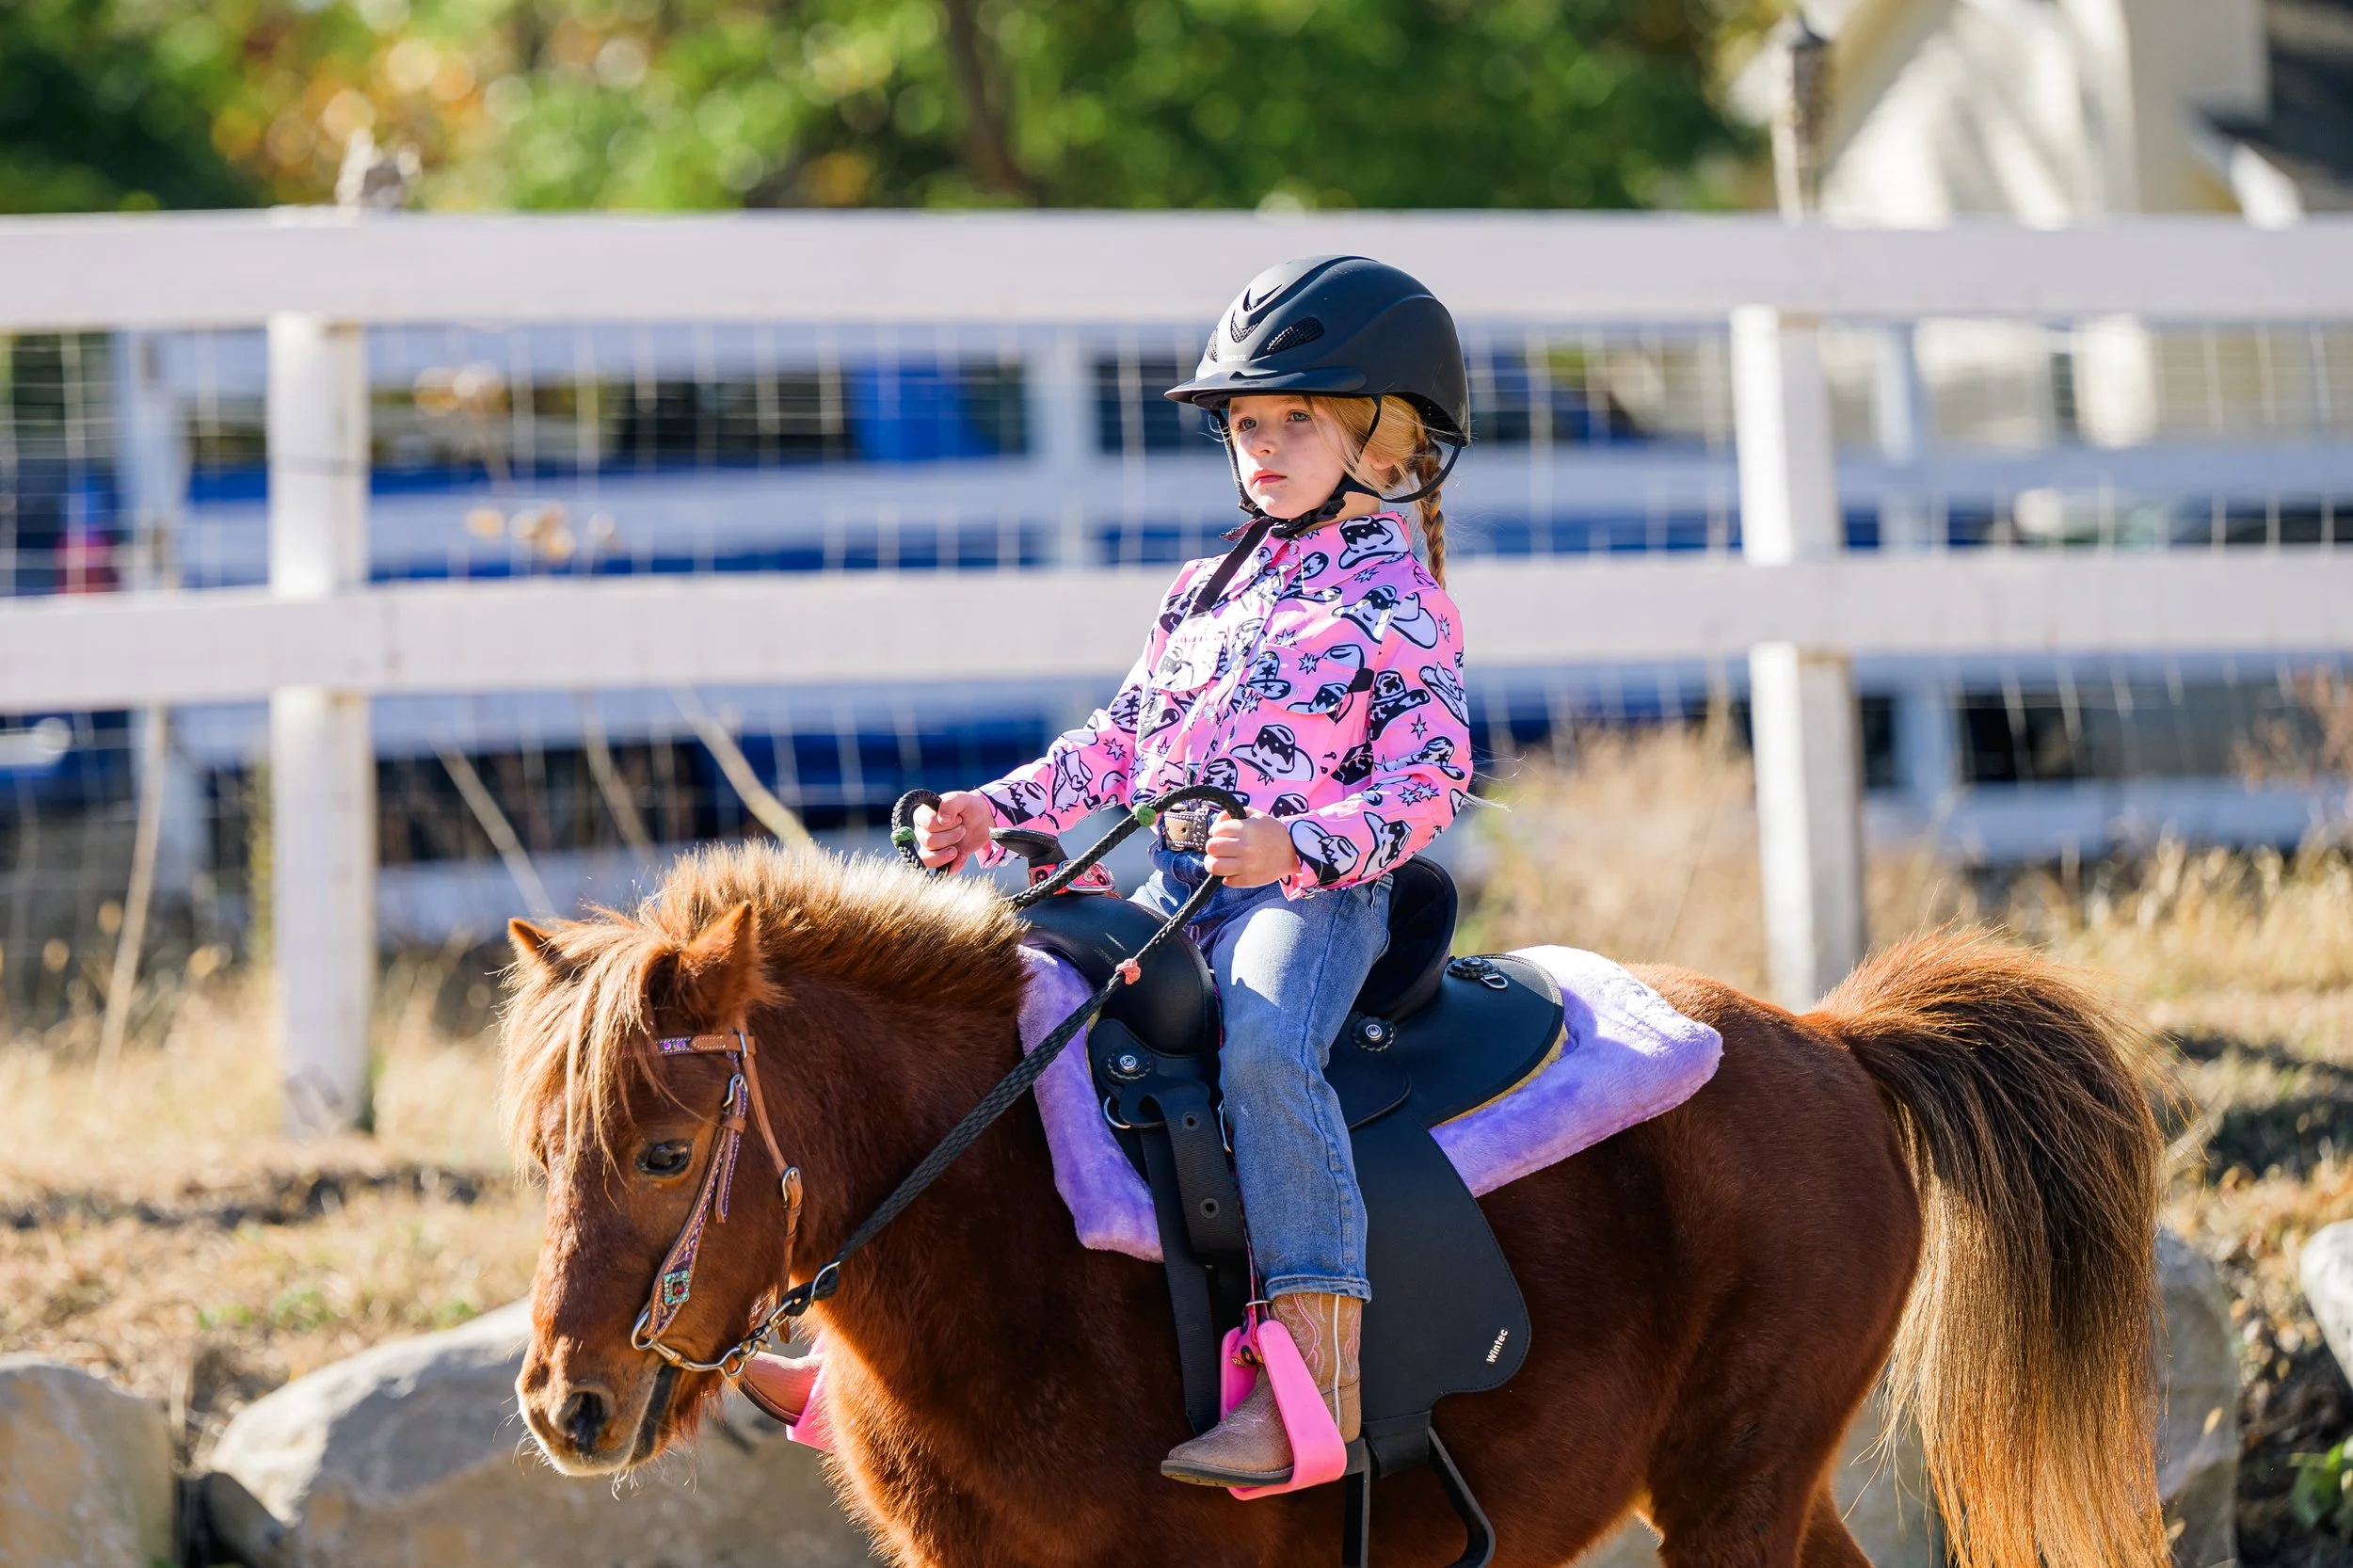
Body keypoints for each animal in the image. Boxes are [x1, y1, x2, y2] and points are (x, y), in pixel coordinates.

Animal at [499, 838, 2168, 1568]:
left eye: (662, 1151)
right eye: (541, 1150)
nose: (565, 1404)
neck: (994, 1199)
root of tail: (1834, 1037)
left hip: (1735, 1484)